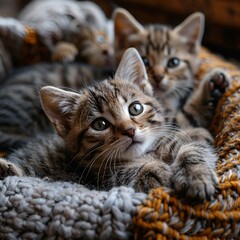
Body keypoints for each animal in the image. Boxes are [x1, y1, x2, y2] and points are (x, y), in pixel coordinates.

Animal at [0, 47, 221, 200]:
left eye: (135, 108)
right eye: (100, 124)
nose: (130, 130)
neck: (146, 152)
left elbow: (193, 148)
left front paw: (196, 177)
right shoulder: (102, 178)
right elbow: (127, 174)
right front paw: (153, 170)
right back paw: (7, 169)